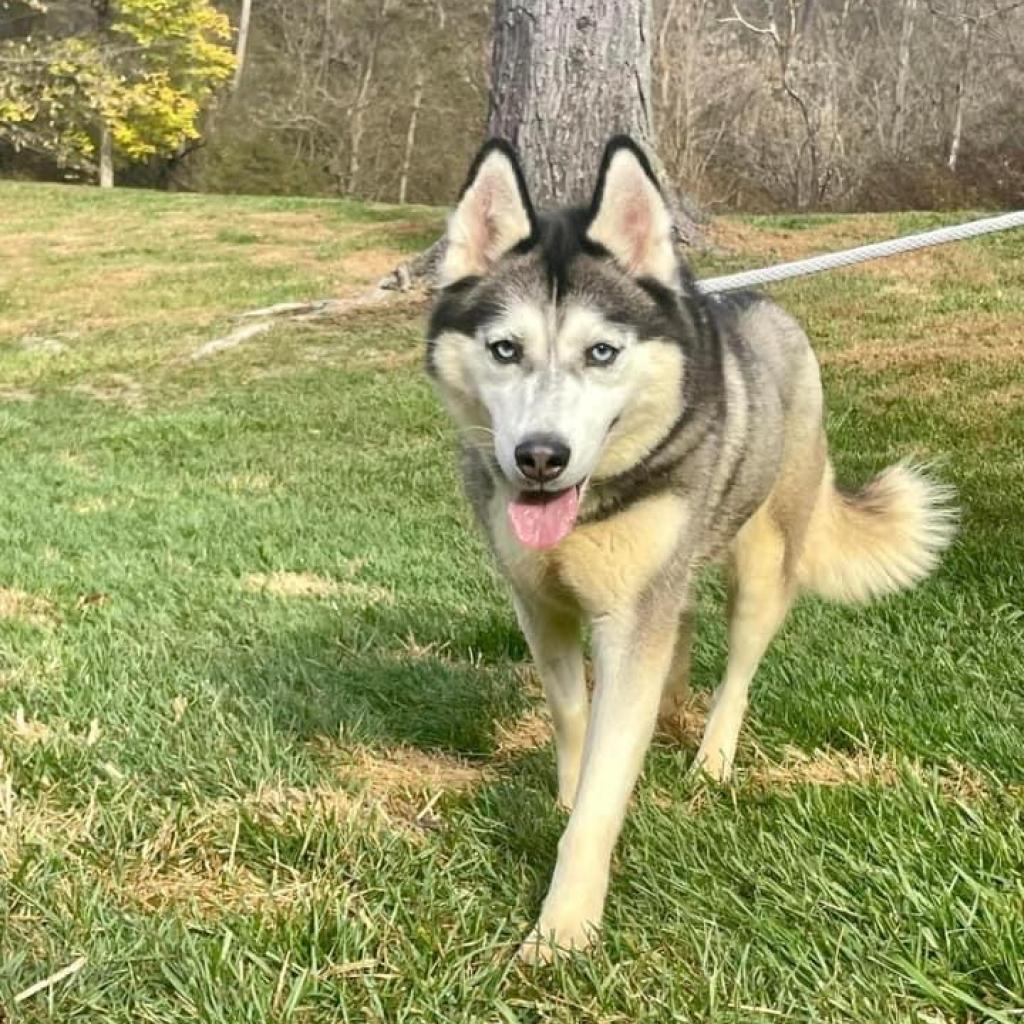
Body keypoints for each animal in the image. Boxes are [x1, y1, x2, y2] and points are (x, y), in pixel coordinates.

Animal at [423, 138, 950, 958]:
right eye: (505, 349)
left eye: (601, 352)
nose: (539, 457)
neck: (594, 505)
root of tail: (761, 304)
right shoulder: (541, 606)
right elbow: (575, 718)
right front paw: (566, 794)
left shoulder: (631, 615)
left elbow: (604, 788)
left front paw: (563, 928)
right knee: (683, 626)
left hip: (761, 566)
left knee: (737, 666)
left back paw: (712, 758)